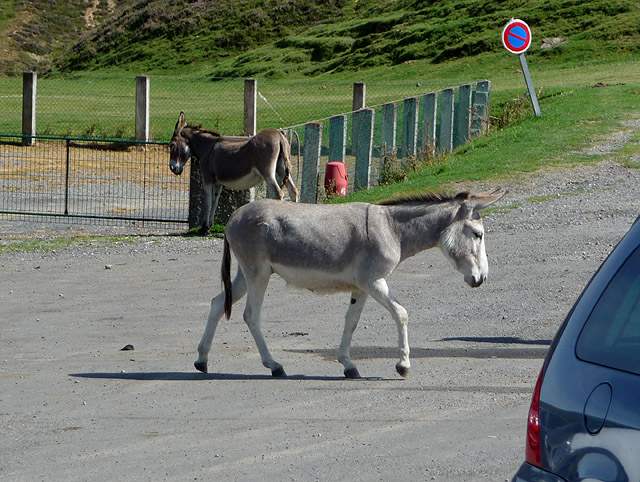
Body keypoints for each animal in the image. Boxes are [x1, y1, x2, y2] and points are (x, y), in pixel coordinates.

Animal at [169, 112, 299, 233]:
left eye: (171, 145)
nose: (173, 169)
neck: (208, 148)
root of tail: (279, 136)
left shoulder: (207, 179)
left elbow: (207, 202)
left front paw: (204, 228)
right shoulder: (218, 183)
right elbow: (215, 203)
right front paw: (209, 225)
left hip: (268, 173)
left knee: (279, 193)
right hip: (282, 169)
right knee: (293, 191)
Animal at [194, 188, 507, 378]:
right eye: (478, 234)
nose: (481, 279)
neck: (393, 230)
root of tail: (234, 216)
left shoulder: (361, 287)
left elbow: (351, 322)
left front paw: (348, 365)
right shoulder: (374, 281)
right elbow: (401, 313)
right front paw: (403, 365)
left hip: (246, 275)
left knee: (216, 303)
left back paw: (202, 360)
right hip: (257, 273)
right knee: (251, 315)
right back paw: (274, 365)